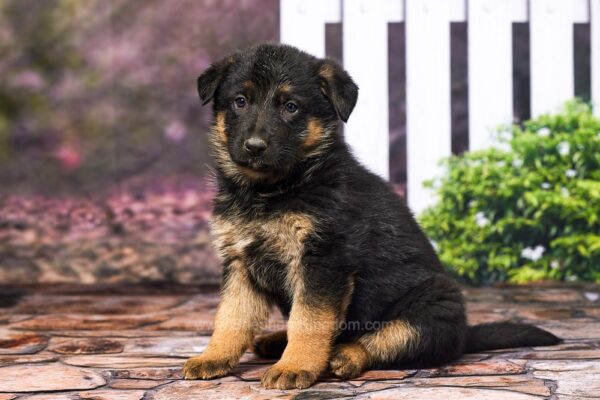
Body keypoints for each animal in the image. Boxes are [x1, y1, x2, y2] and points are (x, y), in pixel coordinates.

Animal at [184, 44, 564, 390]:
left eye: (291, 107)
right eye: (240, 101)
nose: (254, 146)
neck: (272, 190)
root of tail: (464, 335)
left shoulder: (323, 260)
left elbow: (310, 320)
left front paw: (295, 366)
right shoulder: (240, 261)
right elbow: (230, 317)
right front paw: (213, 357)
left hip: (429, 309)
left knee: (386, 341)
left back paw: (343, 355)